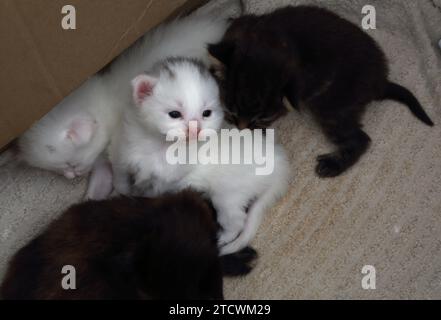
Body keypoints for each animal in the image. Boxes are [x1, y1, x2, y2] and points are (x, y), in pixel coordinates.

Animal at [109, 58, 288, 255]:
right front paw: (118, 194)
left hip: (228, 195)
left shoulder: (167, 182)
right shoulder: (122, 154)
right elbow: (120, 179)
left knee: (236, 222)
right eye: (174, 114)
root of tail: (280, 162)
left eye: (206, 113)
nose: (196, 130)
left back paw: (221, 239)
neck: (160, 146)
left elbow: (151, 194)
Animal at [208, 5, 432, 178]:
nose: (241, 129)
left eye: (262, 118)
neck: (266, 44)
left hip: (330, 106)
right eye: (232, 110)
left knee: (361, 139)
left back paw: (334, 165)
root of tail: (380, 80)